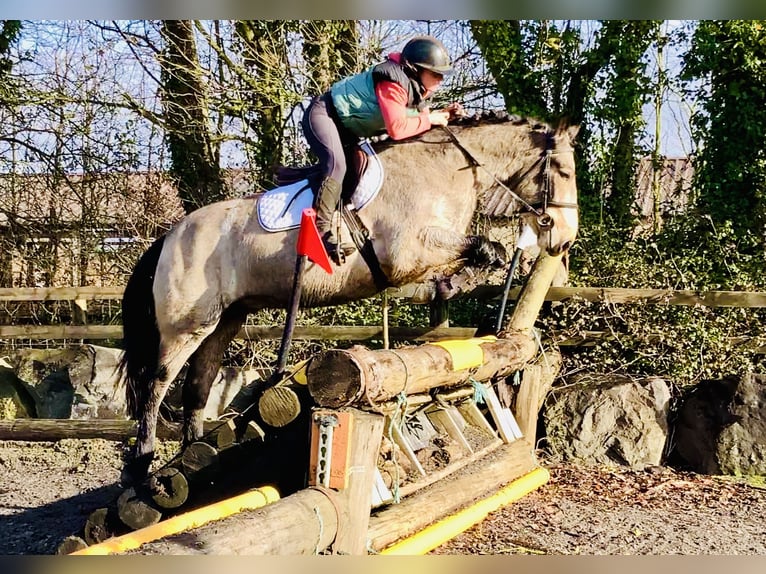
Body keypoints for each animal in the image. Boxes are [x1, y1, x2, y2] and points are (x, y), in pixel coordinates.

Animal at [119, 112, 579, 485]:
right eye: (562, 170)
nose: (563, 239)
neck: (443, 172)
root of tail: (170, 236)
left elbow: (485, 254)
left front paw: (452, 288)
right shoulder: (407, 253)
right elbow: (482, 248)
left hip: (226, 318)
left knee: (198, 382)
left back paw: (189, 457)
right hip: (187, 325)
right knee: (157, 383)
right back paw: (142, 467)